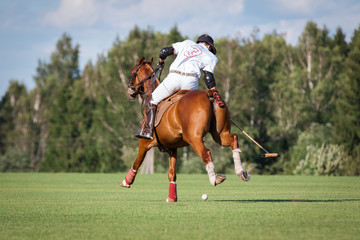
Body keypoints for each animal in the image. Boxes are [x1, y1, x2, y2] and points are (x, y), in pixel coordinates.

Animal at [119, 57, 249, 202]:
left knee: (206, 153)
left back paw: (215, 178)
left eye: (132, 72)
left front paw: (126, 182)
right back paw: (241, 172)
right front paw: (172, 198)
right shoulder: (172, 147)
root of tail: (208, 93)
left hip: (194, 137)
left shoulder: (145, 142)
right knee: (233, 138)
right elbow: (172, 174)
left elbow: (137, 162)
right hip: (219, 134)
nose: (128, 91)